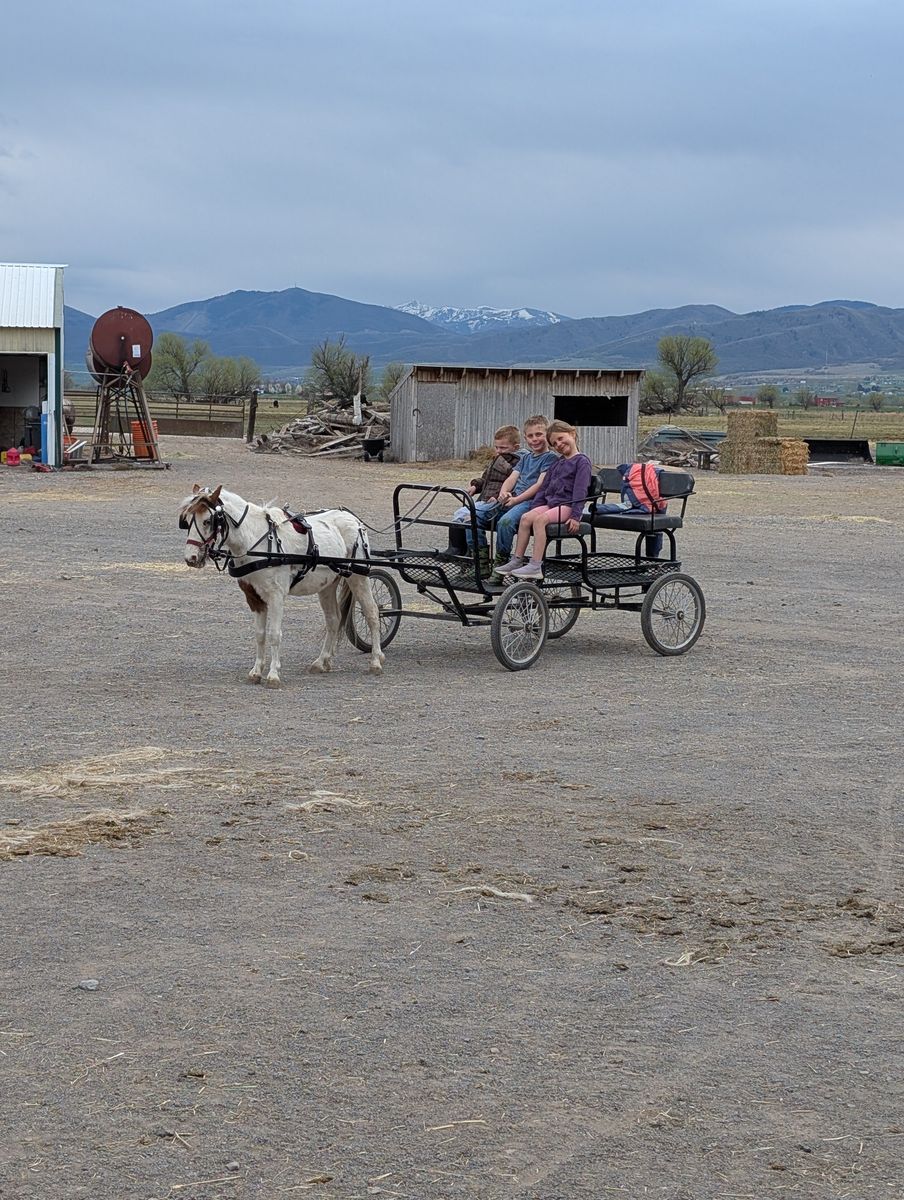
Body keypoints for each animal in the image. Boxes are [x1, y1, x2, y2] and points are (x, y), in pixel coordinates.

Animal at [179, 484, 385, 685]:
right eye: (186, 521)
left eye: (207, 521)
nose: (191, 558)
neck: (255, 541)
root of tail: (354, 520)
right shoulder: (253, 597)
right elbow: (260, 634)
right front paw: (256, 672)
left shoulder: (276, 595)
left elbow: (274, 634)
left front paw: (273, 675)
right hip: (328, 585)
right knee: (333, 619)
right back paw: (321, 661)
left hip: (358, 577)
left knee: (372, 613)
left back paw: (375, 660)